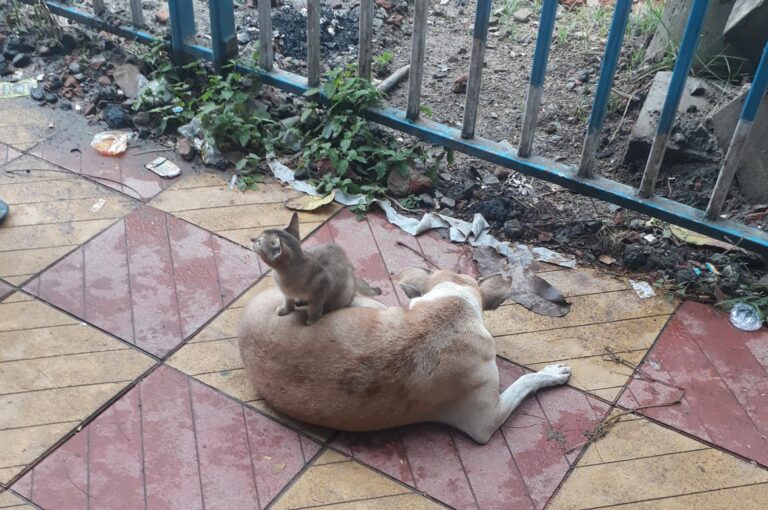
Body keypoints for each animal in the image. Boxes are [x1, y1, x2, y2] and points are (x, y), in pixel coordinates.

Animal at [252, 212, 384, 326]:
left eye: (259, 242)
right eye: (257, 237)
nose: (251, 239)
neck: (281, 276)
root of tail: (354, 279)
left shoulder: (321, 288)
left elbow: (314, 309)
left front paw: (312, 320)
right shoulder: (286, 294)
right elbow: (288, 301)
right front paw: (286, 309)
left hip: (342, 292)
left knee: (336, 305)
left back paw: (326, 309)